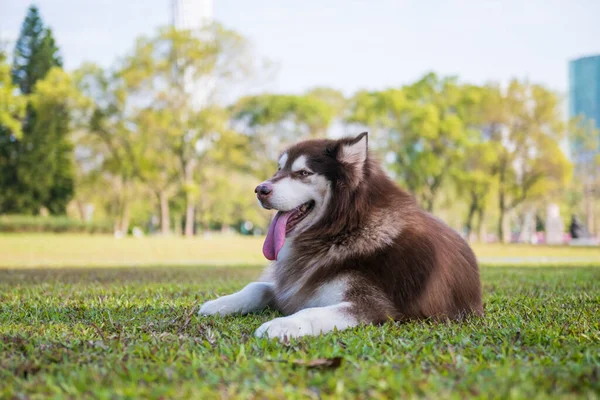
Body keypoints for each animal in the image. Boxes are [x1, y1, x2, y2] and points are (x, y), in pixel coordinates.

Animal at [199, 133, 486, 340]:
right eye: (278, 169)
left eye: (303, 173)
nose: (260, 189)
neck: (342, 230)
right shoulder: (295, 286)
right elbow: (257, 286)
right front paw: (218, 304)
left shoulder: (374, 307)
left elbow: (311, 312)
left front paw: (279, 325)